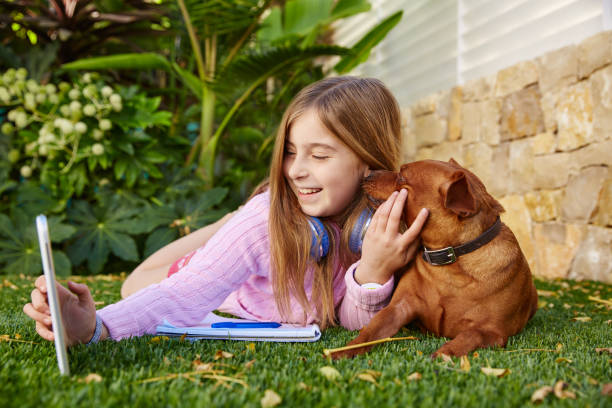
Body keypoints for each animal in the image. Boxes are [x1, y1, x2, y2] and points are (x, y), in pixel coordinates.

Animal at [332, 158, 536, 358]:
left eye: (401, 177)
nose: (368, 173)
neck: (449, 265)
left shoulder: (493, 331)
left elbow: (471, 335)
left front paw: (445, 352)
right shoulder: (398, 308)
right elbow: (371, 329)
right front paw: (346, 349)